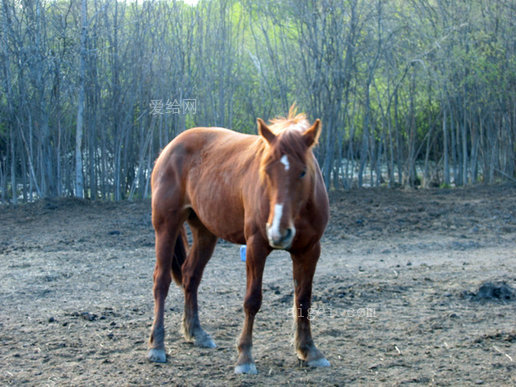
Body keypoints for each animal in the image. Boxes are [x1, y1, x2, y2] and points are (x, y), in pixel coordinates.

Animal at [147, 107, 328, 374]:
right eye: (266, 170)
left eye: (303, 171)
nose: (278, 232)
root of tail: (170, 147)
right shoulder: (255, 247)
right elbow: (252, 301)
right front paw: (245, 357)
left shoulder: (309, 250)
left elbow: (303, 300)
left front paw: (309, 351)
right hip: (166, 226)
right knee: (161, 281)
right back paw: (157, 345)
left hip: (205, 232)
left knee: (191, 275)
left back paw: (196, 333)